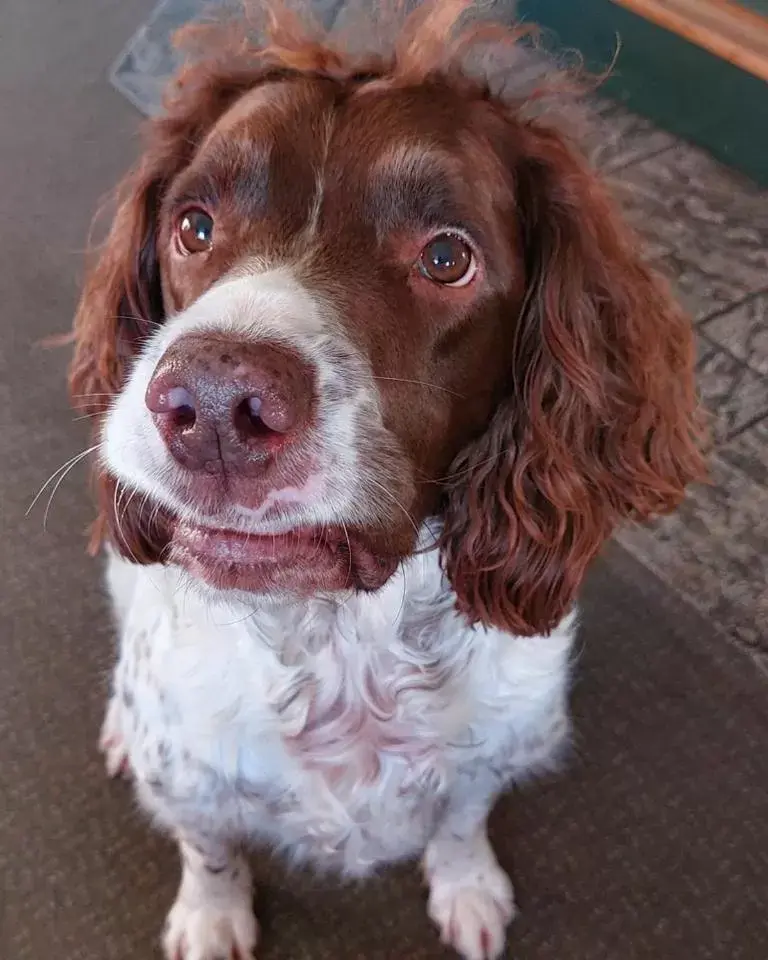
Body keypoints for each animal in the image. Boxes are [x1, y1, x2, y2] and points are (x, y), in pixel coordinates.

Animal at [69, 3, 704, 956]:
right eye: (194, 226)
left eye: (445, 258)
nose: (212, 406)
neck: (344, 646)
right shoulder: (188, 770)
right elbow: (208, 844)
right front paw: (212, 916)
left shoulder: (497, 746)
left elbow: (462, 819)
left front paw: (467, 886)